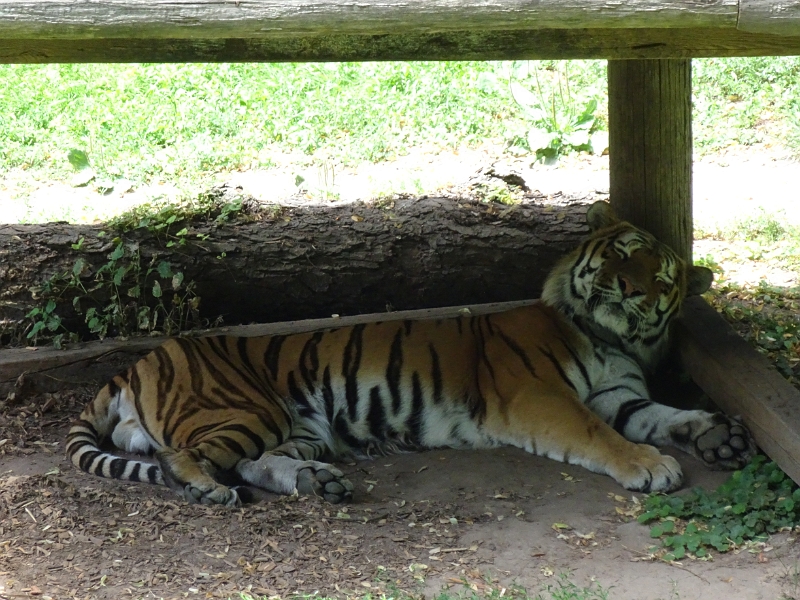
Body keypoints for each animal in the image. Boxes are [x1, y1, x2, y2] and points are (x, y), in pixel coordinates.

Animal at [67, 202, 756, 506]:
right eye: (621, 254)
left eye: (661, 277)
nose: (633, 289)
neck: (609, 337)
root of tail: (138, 361)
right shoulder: (539, 396)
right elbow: (598, 434)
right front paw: (649, 466)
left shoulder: (621, 396)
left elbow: (666, 416)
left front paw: (718, 435)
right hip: (244, 410)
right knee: (183, 457)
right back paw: (208, 491)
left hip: (298, 426)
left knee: (255, 462)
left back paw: (317, 482)